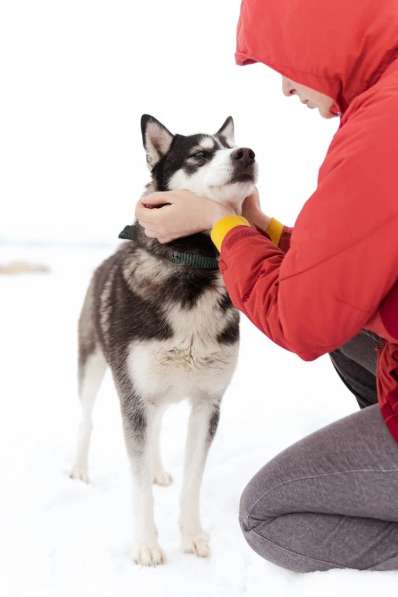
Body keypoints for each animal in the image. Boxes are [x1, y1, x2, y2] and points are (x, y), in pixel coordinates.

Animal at [70, 114, 258, 564]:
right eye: (200, 155)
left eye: (231, 146)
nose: (246, 154)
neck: (194, 267)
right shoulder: (135, 398)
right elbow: (138, 488)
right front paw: (147, 545)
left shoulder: (207, 403)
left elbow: (193, 481)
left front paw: (192, 536)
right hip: (96, 368)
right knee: (86, 418)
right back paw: (79, 469)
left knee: (153, 433)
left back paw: (157, 469)